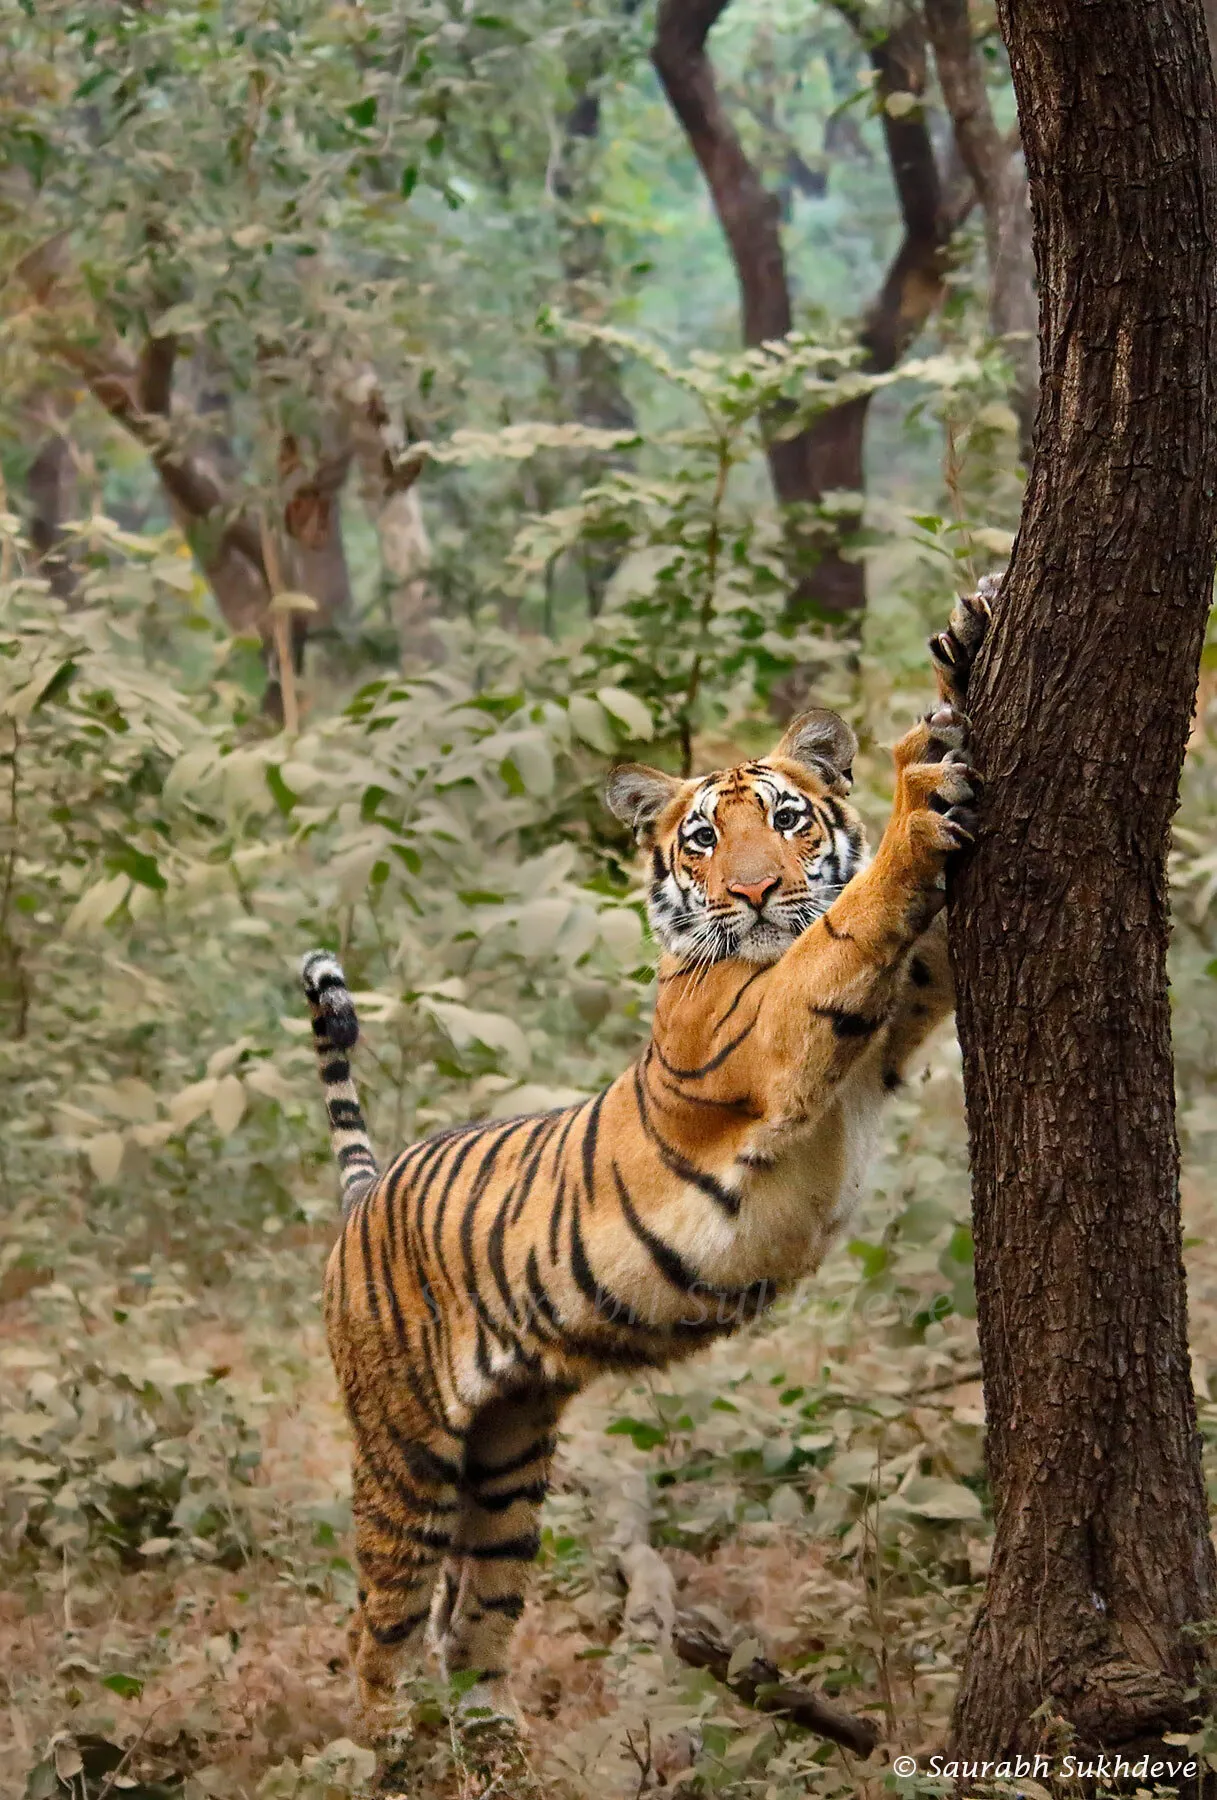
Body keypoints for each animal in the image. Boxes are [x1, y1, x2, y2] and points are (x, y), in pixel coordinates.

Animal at [299, 584, 992, 1733]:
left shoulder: (896, 1013)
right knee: (374, 1634)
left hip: (507, 1463)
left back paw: (487, 1747)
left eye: (789, 820)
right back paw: (380, 1749)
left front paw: (960, 648)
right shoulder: (779, 1029)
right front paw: (913, 781)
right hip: (404, 1452)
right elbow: (848, 924)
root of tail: (362, 1196)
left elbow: (894, 933)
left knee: (468, 1626)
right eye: (703, 839)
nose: (754, 893)